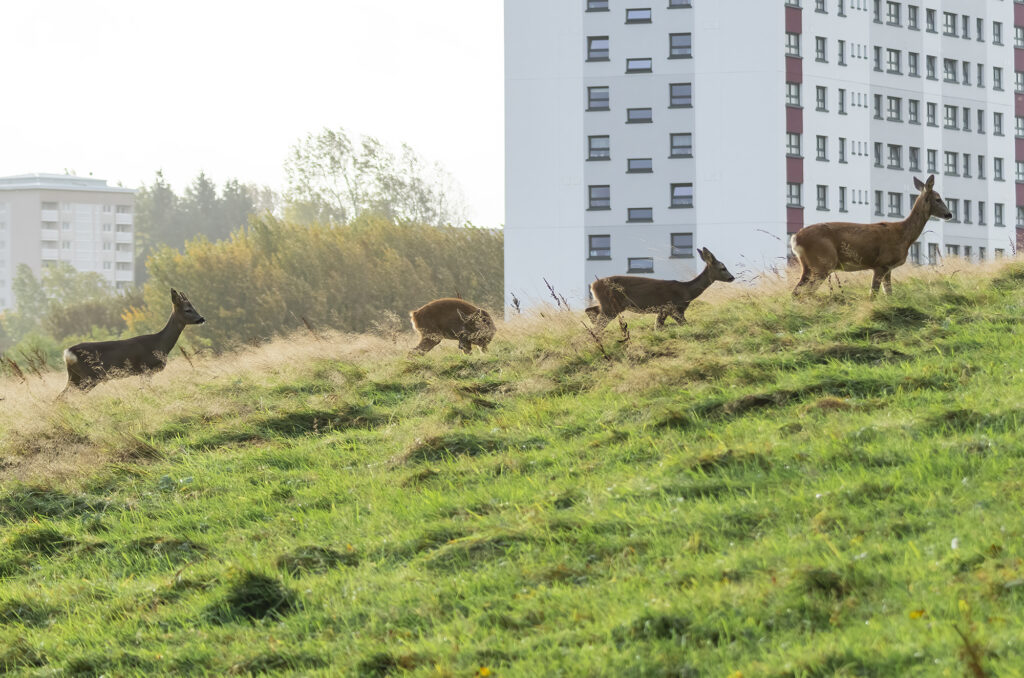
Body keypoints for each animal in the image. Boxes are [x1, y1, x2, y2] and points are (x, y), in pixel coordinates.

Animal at [58, 288, 206, 399]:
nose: (202, 318)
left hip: (75, 375)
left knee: (60, 396)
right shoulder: (147, 368)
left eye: (193, 307)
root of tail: (67, 353)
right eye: (188, 310)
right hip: (90, 375)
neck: (160, 343)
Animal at [585, 246, 737, 331]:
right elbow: (683, 324)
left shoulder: (663, 310)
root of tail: (593, 285)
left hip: (608, 304)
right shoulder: (672, 307)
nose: (732, 277)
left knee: (590, 310)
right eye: (723, 268)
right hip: (611, 306)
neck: (686, 291)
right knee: (597, 327)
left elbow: (657, 327)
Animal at [790, 174, 950, 297]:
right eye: (938, 199)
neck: (904, 236)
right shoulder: (881, 263)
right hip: (823, 262)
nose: (949, 214)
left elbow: (889, 294)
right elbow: (873, 295)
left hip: (809, 265)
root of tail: (795, 238)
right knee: (805, 292)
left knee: (796, 292)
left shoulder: (888, 268)